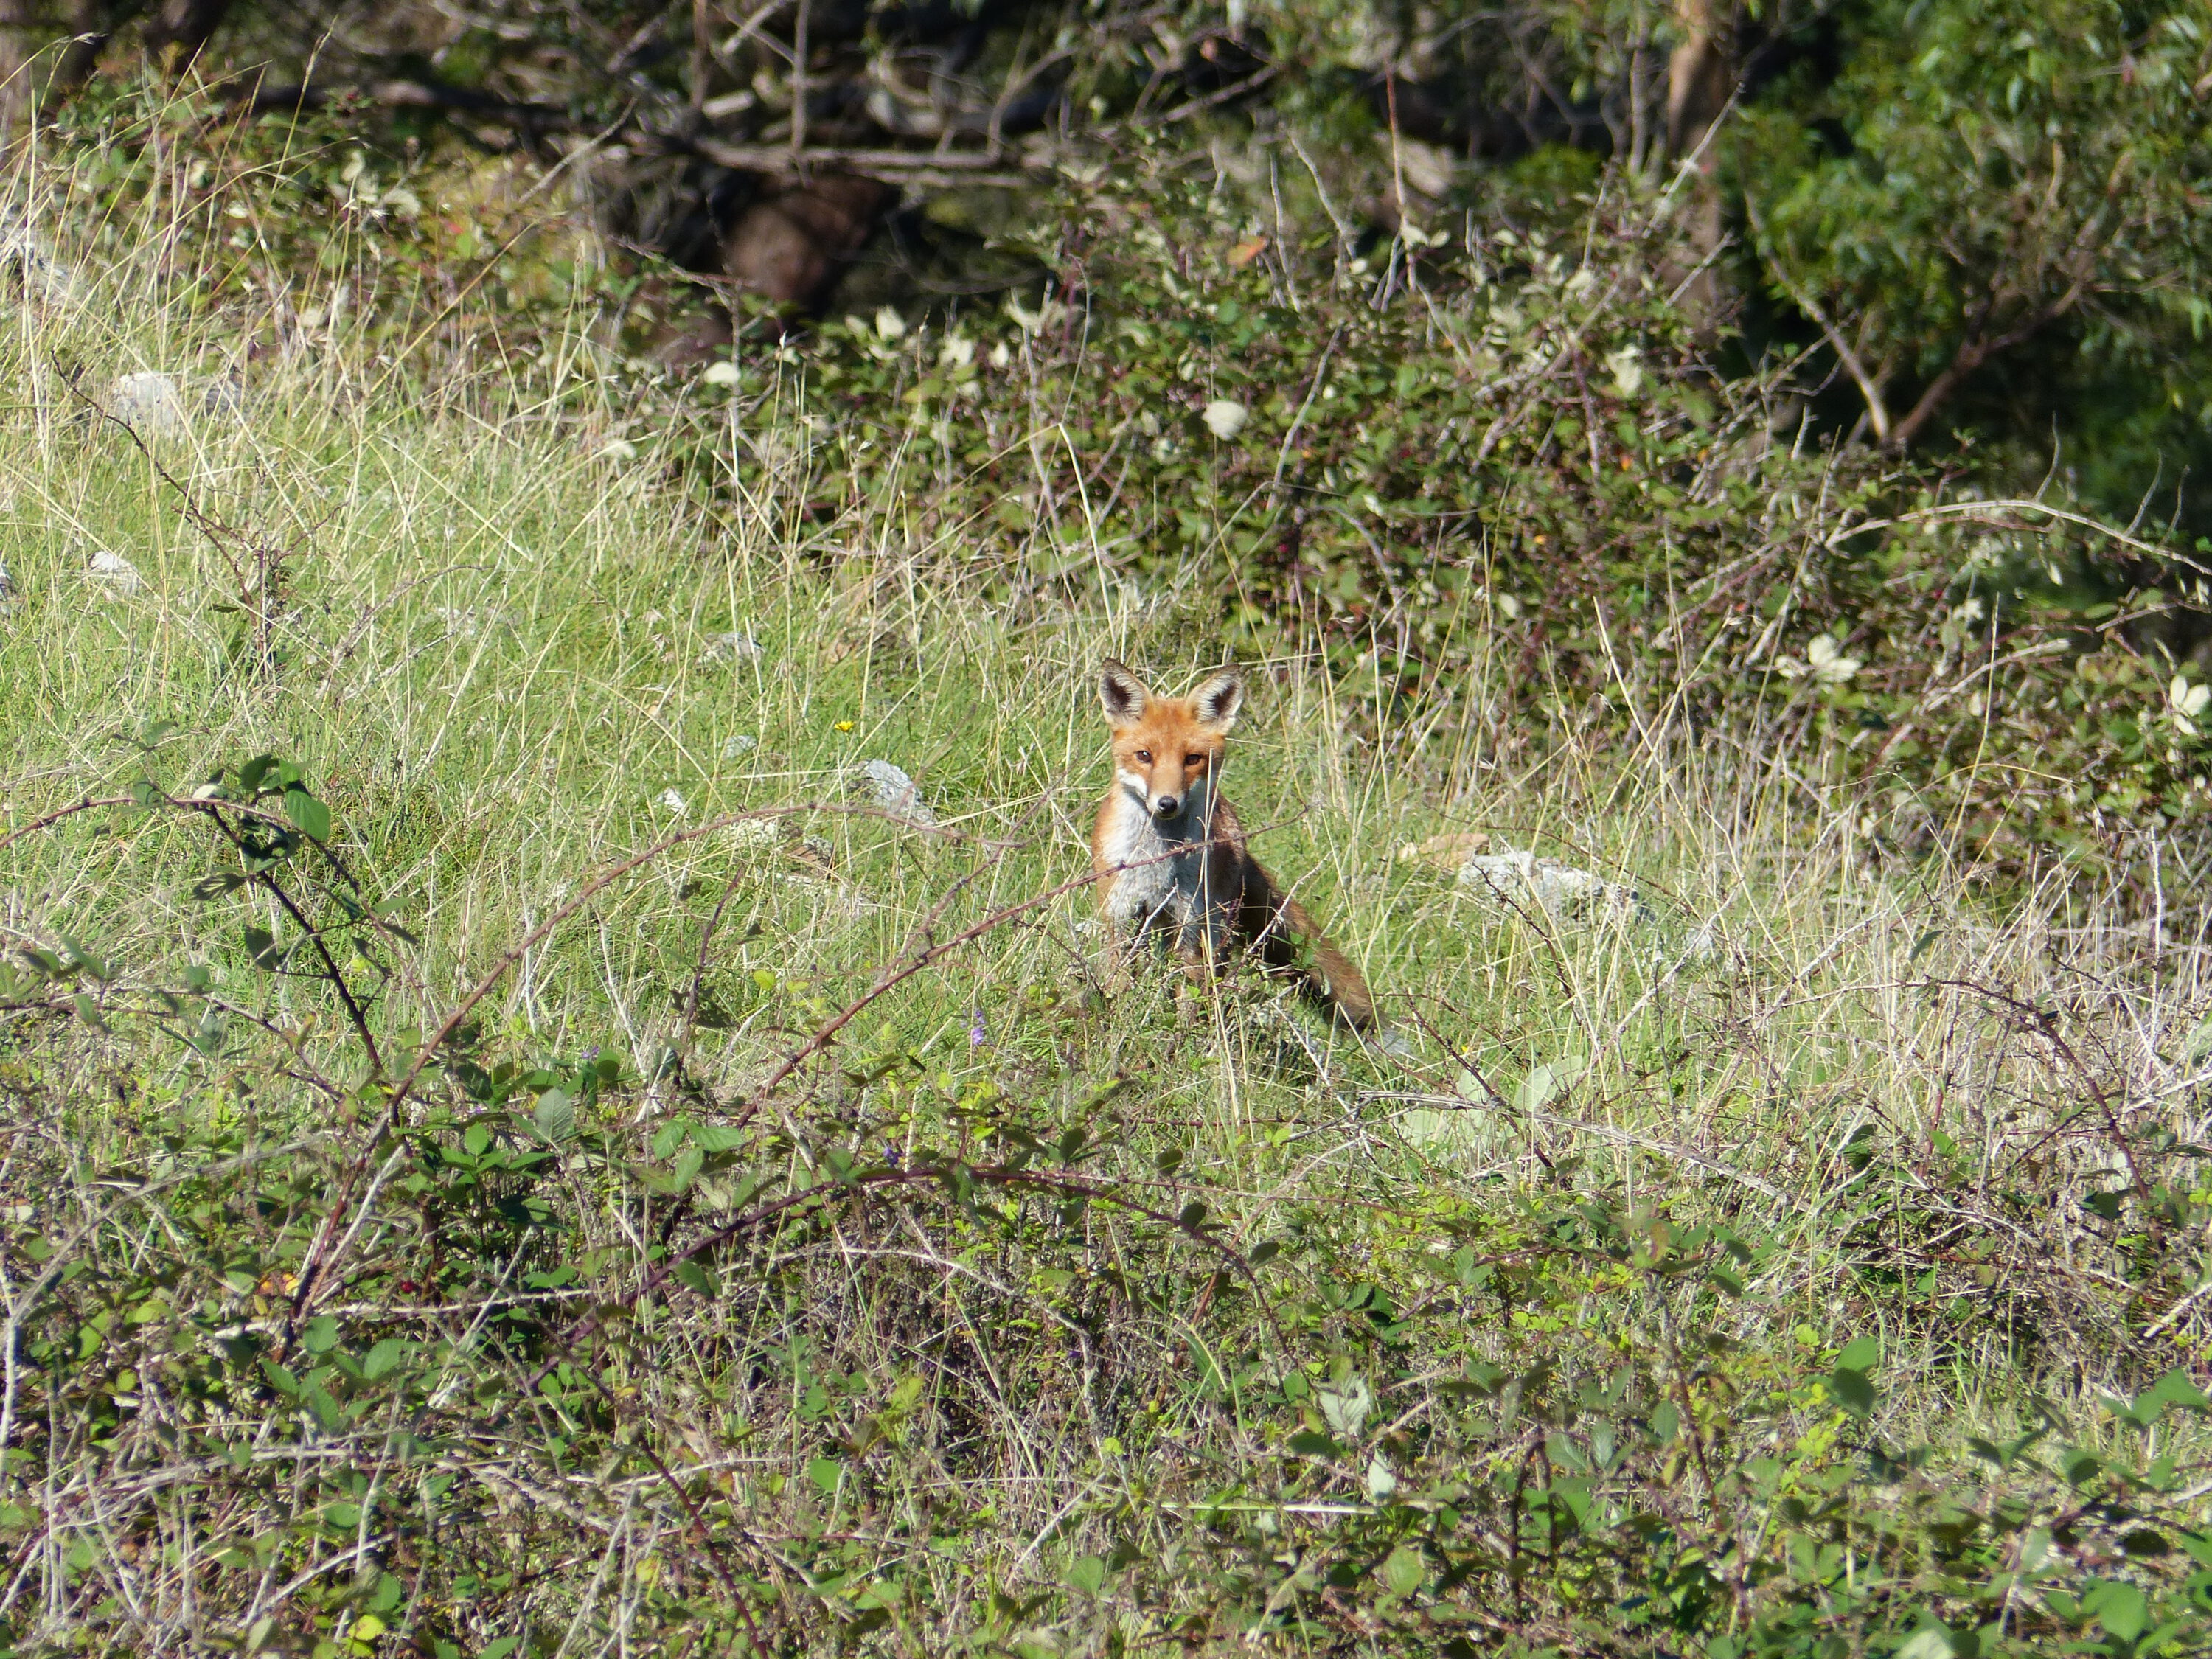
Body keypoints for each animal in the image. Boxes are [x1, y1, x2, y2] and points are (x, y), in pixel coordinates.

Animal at [1084, 659, 1371, 1026]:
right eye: (1144, 756)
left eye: (1192, 759)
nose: (1167, 803)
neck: (1157, 862)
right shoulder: (1120, 917)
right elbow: (1118, 983)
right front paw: (1118, 1023)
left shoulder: (1191, 927)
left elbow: (1189, 1000)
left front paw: (1182, 1038)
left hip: (1214, 928)